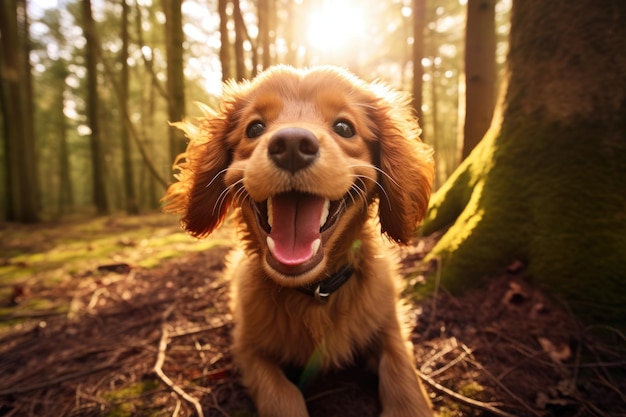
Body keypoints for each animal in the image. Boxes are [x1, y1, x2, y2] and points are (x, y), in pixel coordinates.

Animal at [165, 66, 434, 416]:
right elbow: (282, 395)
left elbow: (403, 377)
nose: (292, 144)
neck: (314, 293)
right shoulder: (248, 347)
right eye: (255, 128)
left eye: (344, 127)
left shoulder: (390, 325)